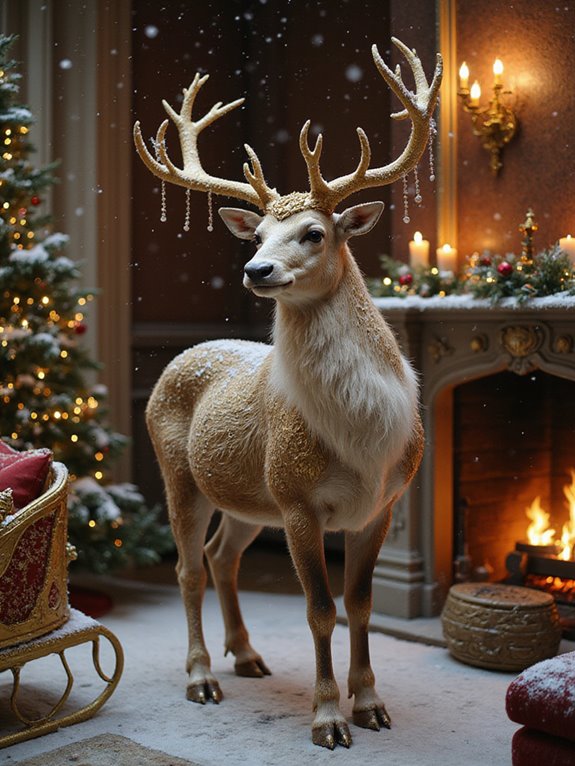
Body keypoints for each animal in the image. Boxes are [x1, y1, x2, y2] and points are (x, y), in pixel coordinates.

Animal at [134, 37, 442, 750]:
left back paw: (246, 656)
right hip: (180, 474)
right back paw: (201, 677)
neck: (360, 440)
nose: (256, 269)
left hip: (250, 497)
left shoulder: (383, 503)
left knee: (221, 557)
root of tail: (184, 355)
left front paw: (371, 704)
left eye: (314, 233)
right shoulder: (299, 500)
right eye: (255, 235)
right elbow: (320, 609)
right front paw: (328, 718)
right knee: (188, 567)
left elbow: (359, 604)